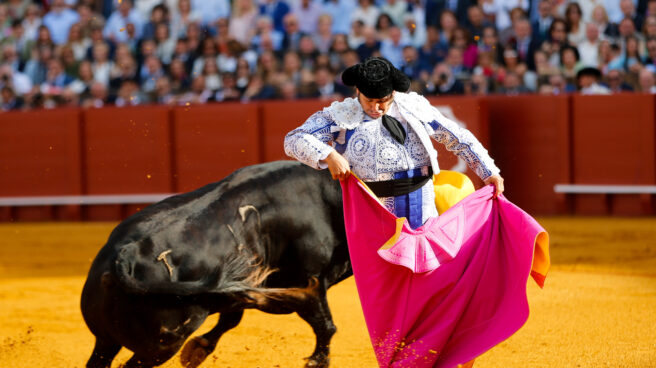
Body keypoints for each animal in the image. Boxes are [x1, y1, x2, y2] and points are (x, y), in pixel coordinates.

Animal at [81, 161, 354, 368]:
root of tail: (125, 254)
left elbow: (231, 318)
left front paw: (198, 350)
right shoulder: (309, 280)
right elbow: (325, 326)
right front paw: (318, 361)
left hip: (105, 339)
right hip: (159, 347)